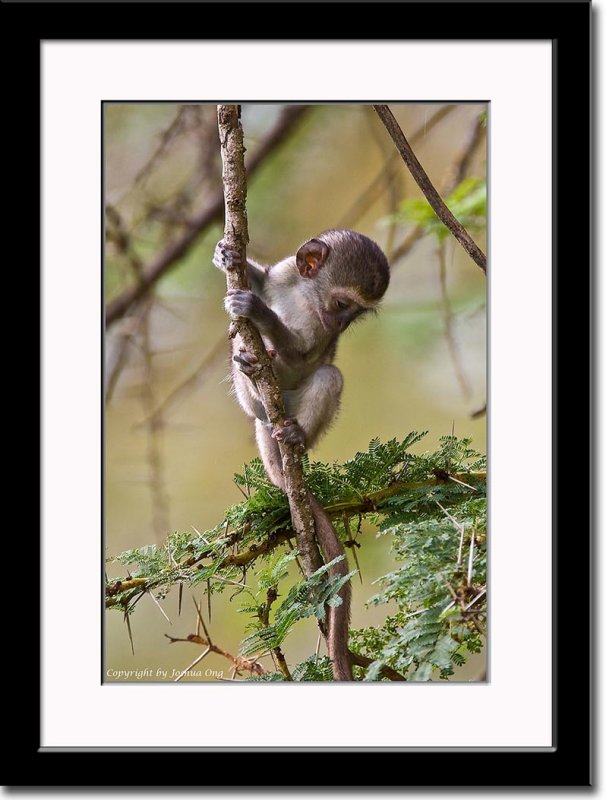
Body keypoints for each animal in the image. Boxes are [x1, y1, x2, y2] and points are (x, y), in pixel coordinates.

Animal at [214, 227, 392, 680]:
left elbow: (308, 352)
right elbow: (263, 280)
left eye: (355, 315)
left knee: (328, 374)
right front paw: (229, 258)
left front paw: (259, 312)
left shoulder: (316, 330)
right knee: (243, 365)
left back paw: (293, 433)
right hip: (259, 415)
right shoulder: (285, 274)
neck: (306, 295)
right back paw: (253, 373)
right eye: (344, 306)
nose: (340, 324)